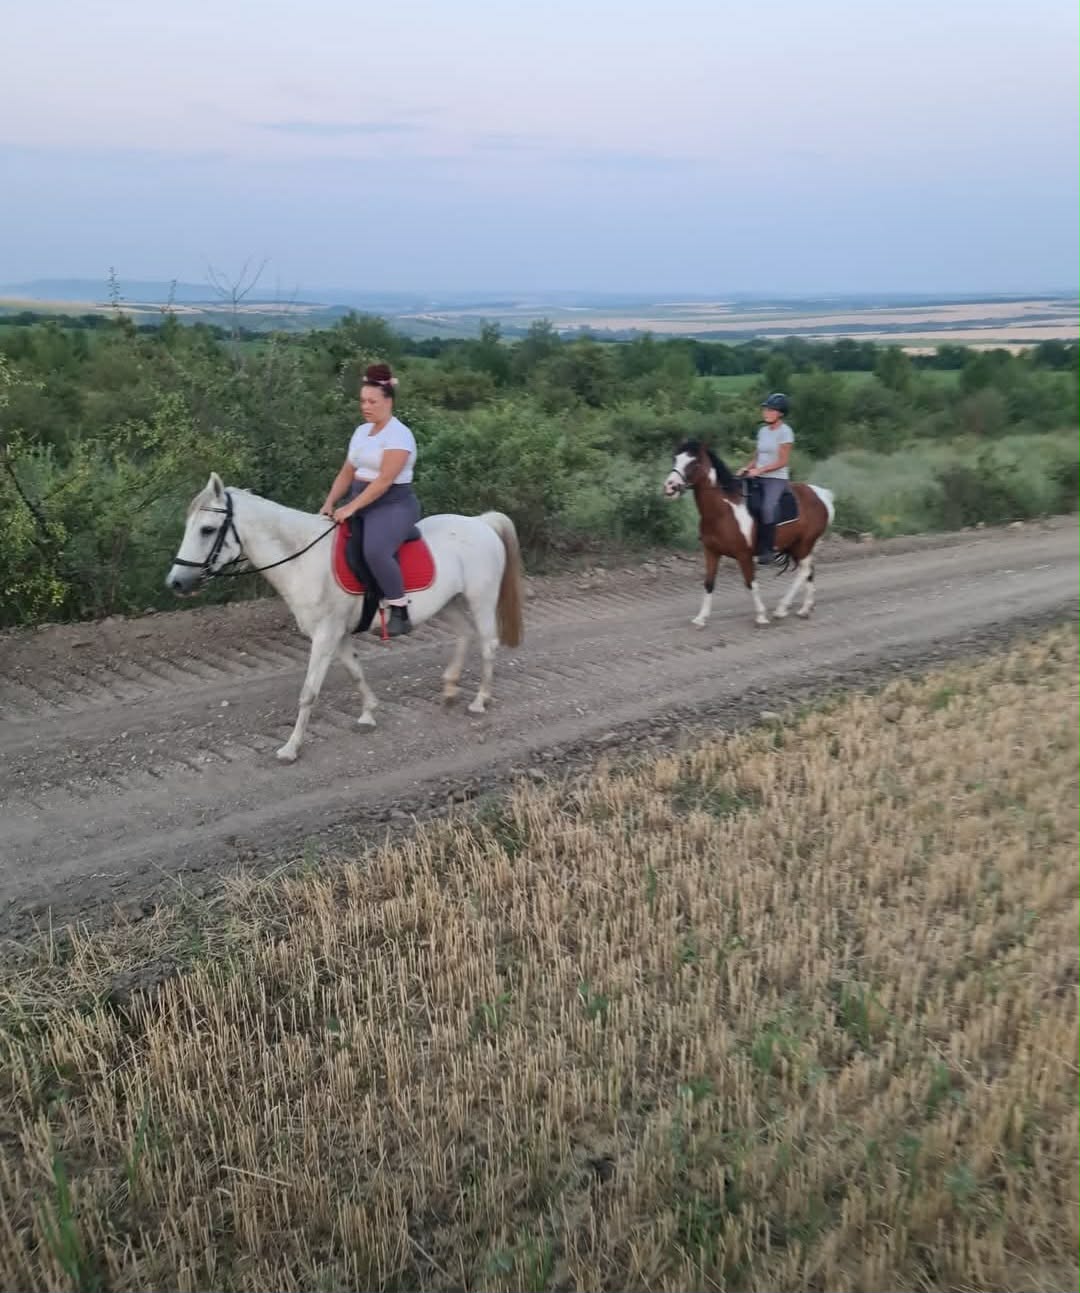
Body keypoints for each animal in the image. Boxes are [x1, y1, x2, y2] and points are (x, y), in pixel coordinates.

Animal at [166, 473, 524, 762]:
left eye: (207, 529)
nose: (176, 583)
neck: (303, 558)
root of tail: (481, 522)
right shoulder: (336, 634)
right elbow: (354, 671)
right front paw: (368, 714)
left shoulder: (325, 635)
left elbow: (309, 692)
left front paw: (290, 748)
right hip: (449, 603)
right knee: (465, 635)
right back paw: (449, 690)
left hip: (481, 599)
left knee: (487, 644)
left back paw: (479, 701)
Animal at [663, 440, 834, 629]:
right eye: (675, 459)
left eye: (694, 463)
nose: (670, 486)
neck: (723, 511)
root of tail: (821, 494)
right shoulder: (711, 552)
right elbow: (709, 583)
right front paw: (700, 618)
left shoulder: (743, 554)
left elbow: (750, 583)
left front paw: (761, 616)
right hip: (797, 545)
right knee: (809, 572)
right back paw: (805, 609)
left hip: (804, 544)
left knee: (804, 572)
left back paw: (782, 609)